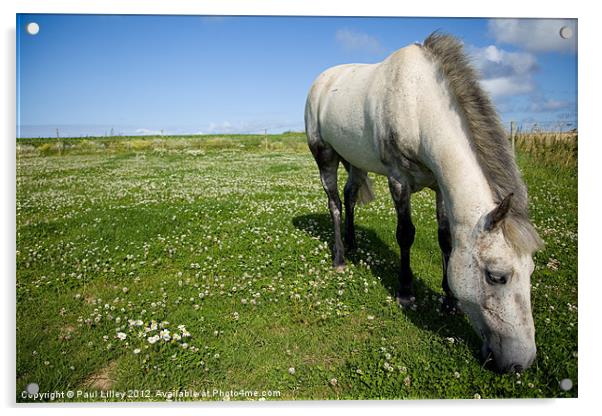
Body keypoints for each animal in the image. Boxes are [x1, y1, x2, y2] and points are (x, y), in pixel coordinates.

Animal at [302, 30, 540, 372]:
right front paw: (406, 292)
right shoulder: (398, 179)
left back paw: (352, 242)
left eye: (532, 270)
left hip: (354, 160)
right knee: (334, 202)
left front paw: (449, 300)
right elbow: (405, 234)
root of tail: (322, 80)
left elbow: (445, 239)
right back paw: (339, 257)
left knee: (349, 196)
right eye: (497, 276)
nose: (520, 364)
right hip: (324, 155)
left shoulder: (439, 185)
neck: (417, 104)